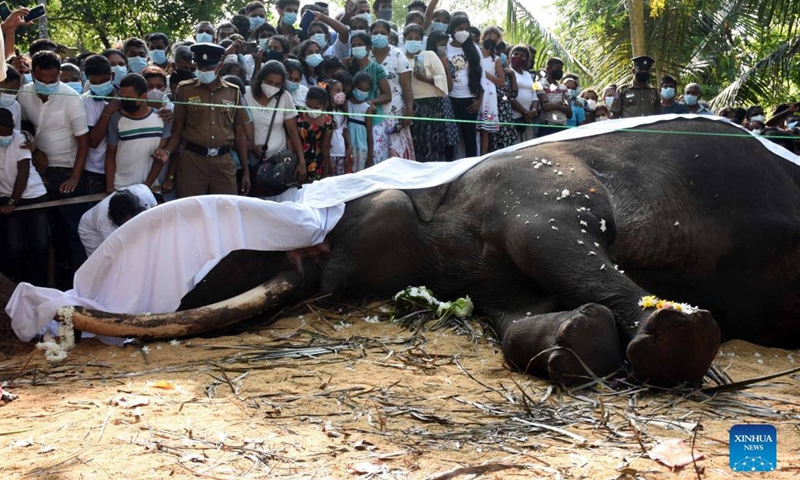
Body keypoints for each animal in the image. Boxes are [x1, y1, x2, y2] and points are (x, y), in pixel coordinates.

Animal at [59, 118, 800, 388]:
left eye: (338, 229)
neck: (435, 200)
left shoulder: (535, 182)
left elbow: (550, 238)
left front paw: (675, 340)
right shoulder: (478, 268)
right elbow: (513, 315)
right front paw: (577, 344)